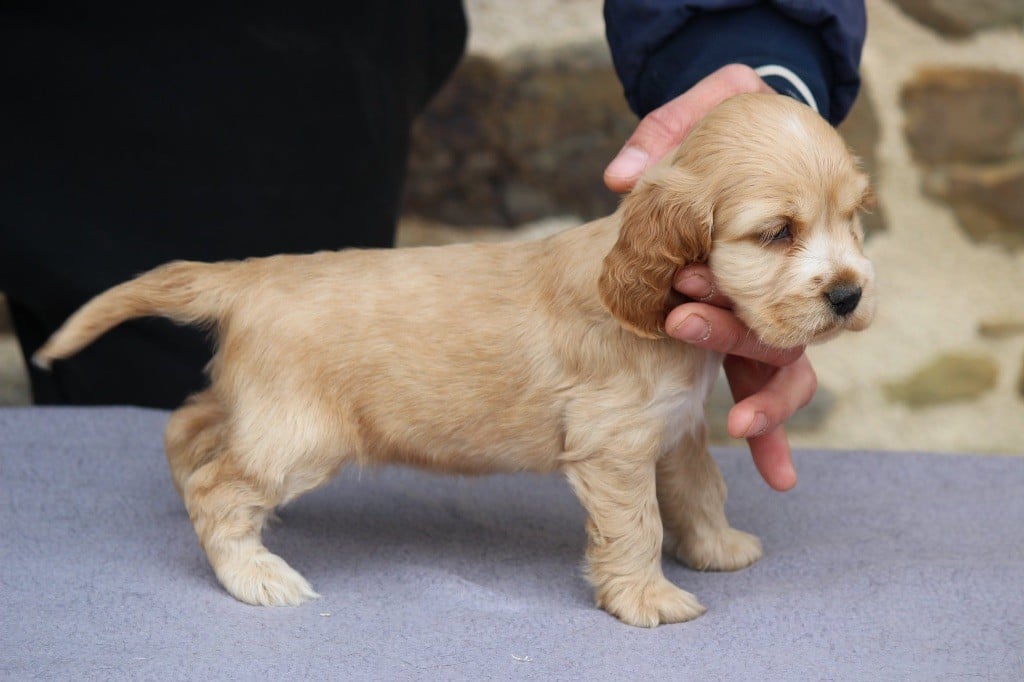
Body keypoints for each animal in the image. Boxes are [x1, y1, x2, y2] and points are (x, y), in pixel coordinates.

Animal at [36, 93, 876, 622]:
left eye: (853, 219)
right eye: (777, 232)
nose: (848, 295)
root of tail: (250, 277)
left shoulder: (673, 432)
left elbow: (700, 491)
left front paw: (717, 550)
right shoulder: (613, 445)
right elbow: (636, 524)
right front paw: (647, 599)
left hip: (262, 408)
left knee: (189, 424)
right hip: (301, 434)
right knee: (217, 486)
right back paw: (255, 575)